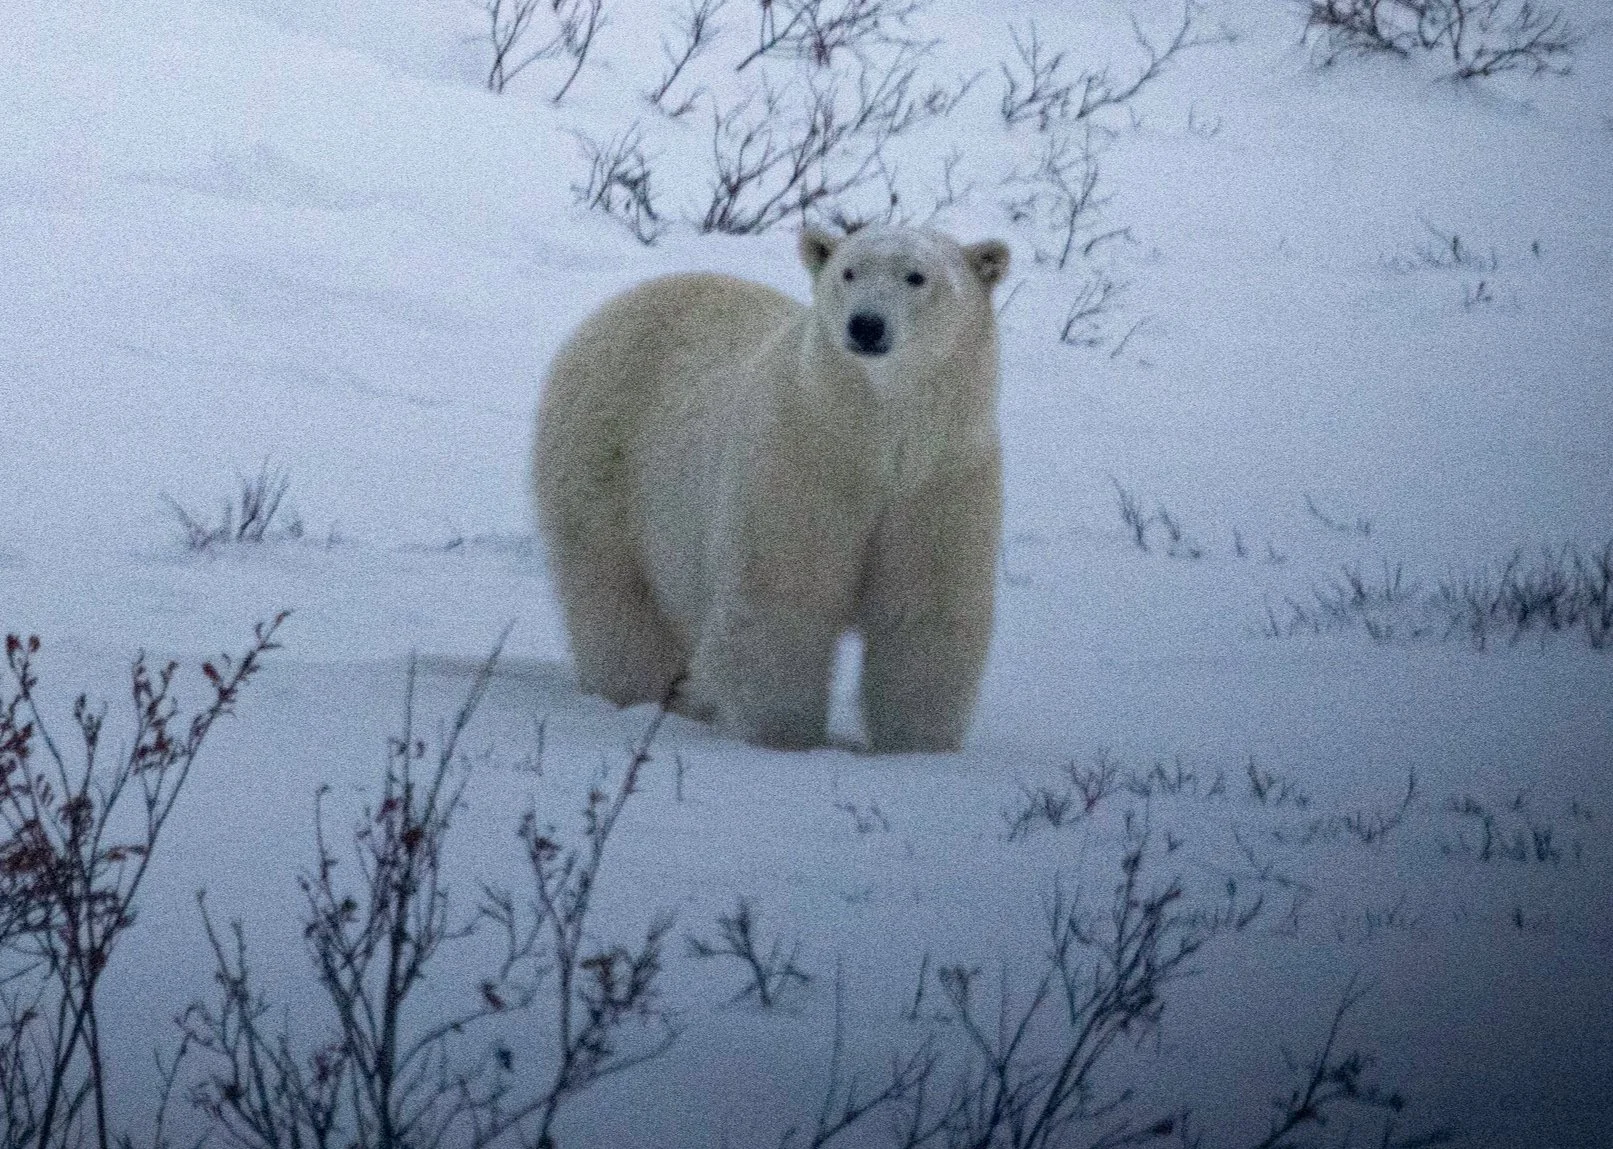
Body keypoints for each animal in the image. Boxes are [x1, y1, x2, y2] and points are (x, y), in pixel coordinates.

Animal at [531, 225, 1009, 752]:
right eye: (849, 271)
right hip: (606, 462)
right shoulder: (799, 462)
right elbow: (781, 600)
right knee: (615, 597)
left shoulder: (940, 477)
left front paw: (917, 750)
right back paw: (636, 694)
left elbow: (926, 611)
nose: (865, 325)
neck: (876, 440)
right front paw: (783, 739)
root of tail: (623, 301)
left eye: (916, 276)